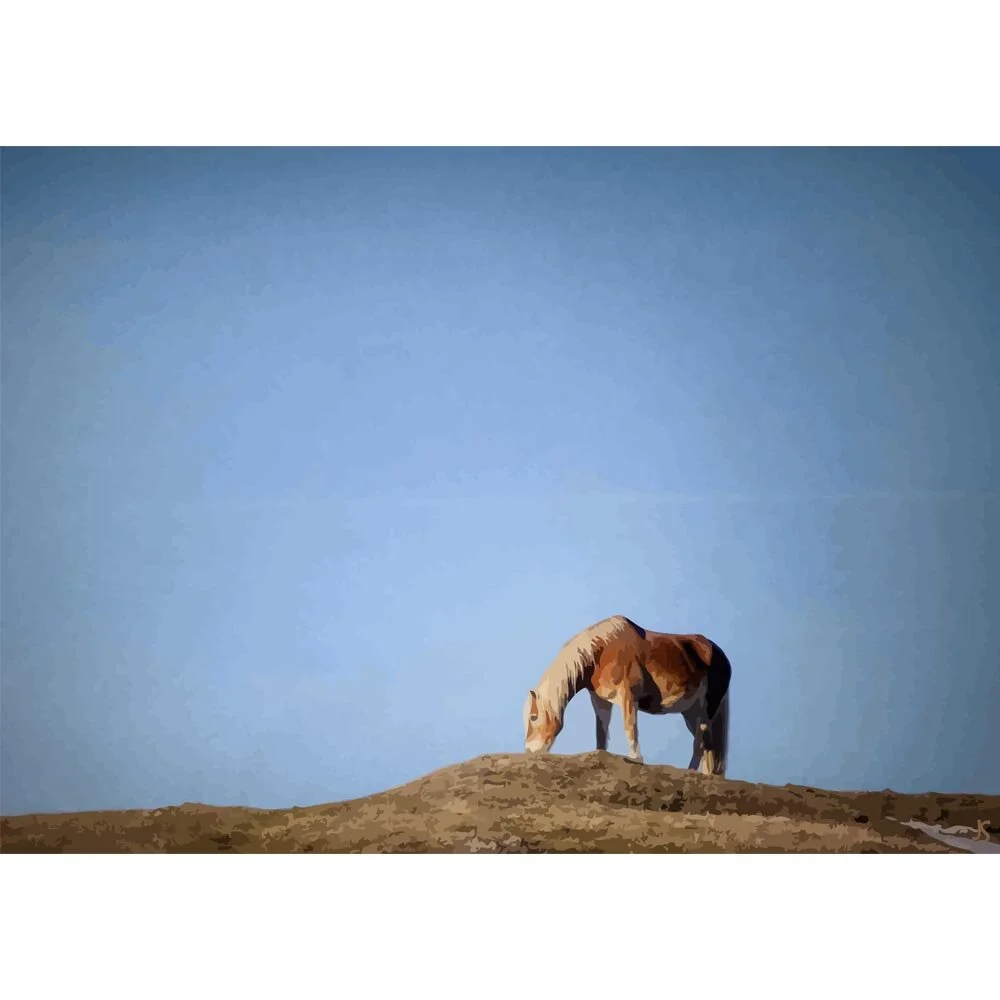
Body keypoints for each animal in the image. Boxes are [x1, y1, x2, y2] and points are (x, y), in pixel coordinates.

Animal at [522, 614, 732, 776]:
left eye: (533, 717)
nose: (530, 751)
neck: (601, 652)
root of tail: (720, 654)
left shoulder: (628, 697)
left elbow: (630, 728)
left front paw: (636, 758)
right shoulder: (601, 701)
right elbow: (601, 730)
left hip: (707, 709)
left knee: (702, 740)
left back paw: (692, 771)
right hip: (690, 711)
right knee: (706, 744)